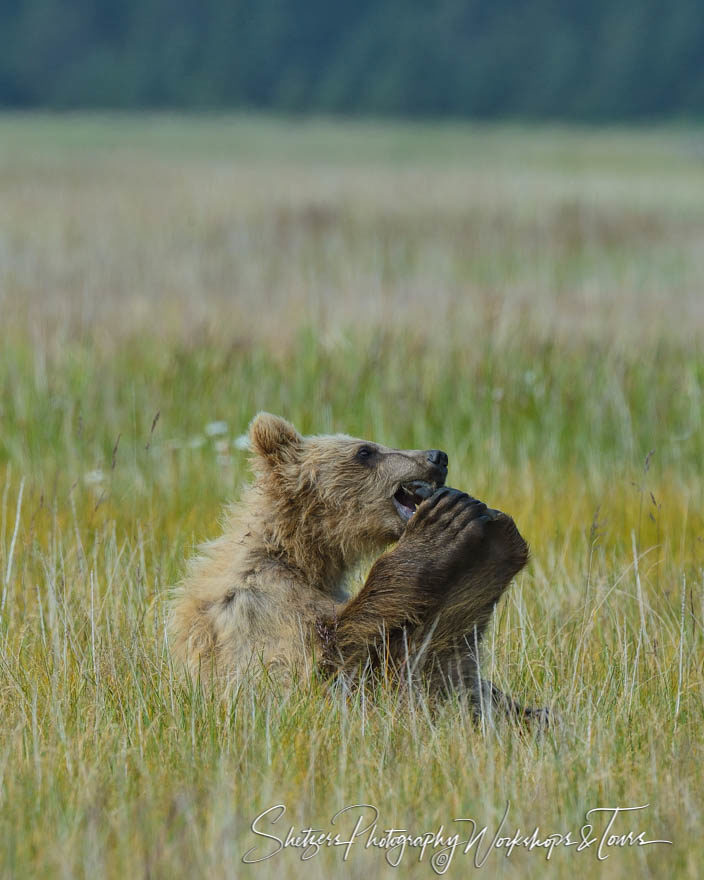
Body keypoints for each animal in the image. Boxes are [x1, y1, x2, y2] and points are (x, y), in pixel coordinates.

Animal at [169, 412, 540, 720]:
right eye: (365, 451)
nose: (437, 456)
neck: (299, 556)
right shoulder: (261, 607)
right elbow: (316, 667)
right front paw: (441, 530)